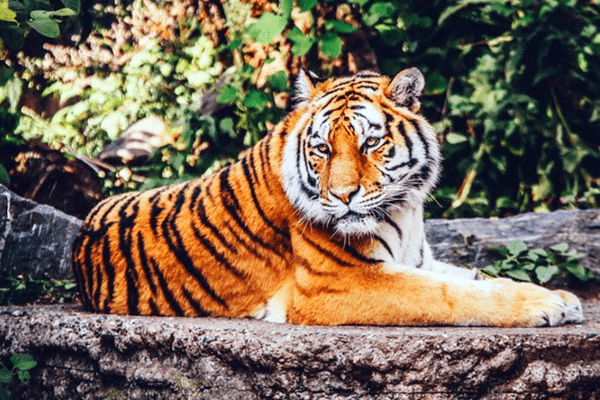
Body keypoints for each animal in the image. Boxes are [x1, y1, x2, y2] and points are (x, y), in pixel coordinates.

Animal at [69, 68, 580, 324]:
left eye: (370, 143)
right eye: (322, 149)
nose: (343, 195)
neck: (405, 209)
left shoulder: (418, 260)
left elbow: (475, 277)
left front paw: (560, 296)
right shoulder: (338, 283)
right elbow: (451, 294)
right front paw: (545, 306)